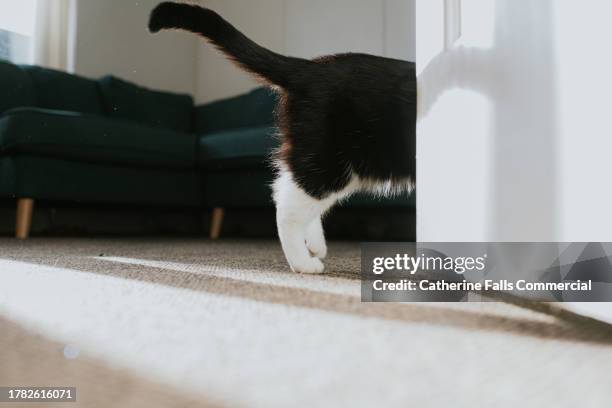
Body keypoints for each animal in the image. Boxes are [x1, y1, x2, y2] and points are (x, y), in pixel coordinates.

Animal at [149, 1, 416, 274]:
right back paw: (303, 263)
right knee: (288, 208)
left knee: (287, 189)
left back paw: (315, 245)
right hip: (330, 158)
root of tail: (309, 67)